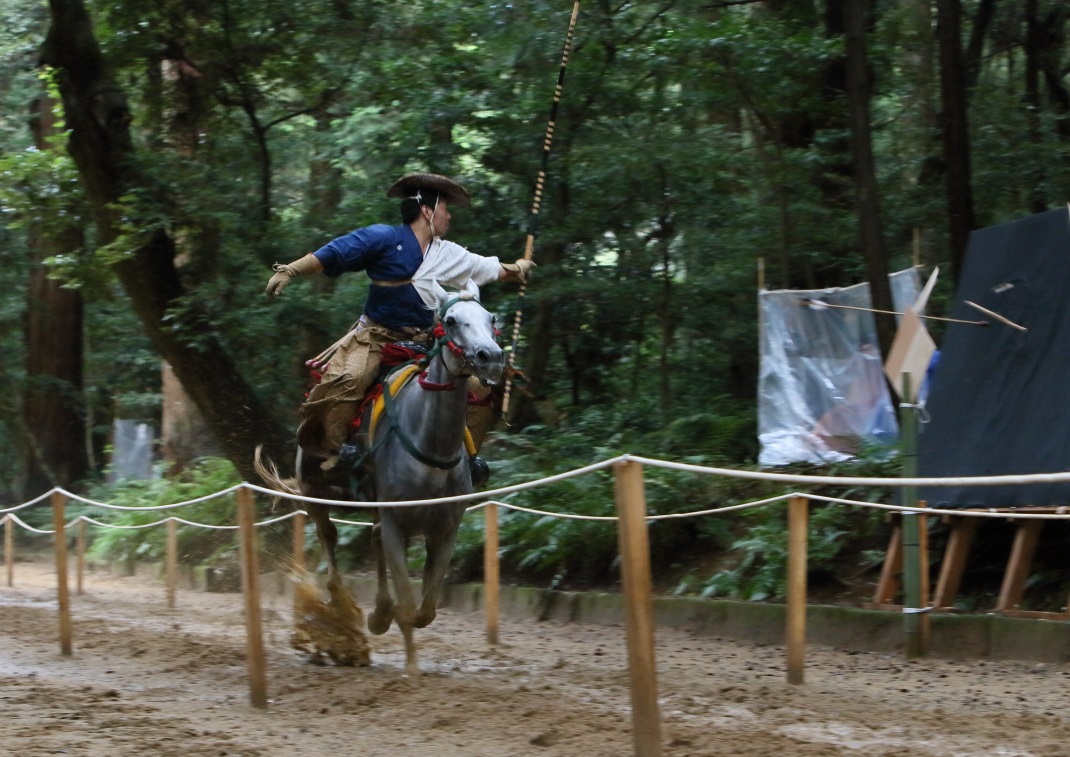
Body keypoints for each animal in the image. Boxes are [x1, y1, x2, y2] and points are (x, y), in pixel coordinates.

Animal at [261, 282, 507, 676]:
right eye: (452, 321)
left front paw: (386, 620)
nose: (490, 357)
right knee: (329, 540)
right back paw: (340, 614)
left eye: (491, 318)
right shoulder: (396, 521)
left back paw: (377, 612)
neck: (430, 447)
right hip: (314, 492)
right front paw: (411, 668)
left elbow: (426, 609)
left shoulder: (446, 528)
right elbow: (408, 605)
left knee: (373, 540)